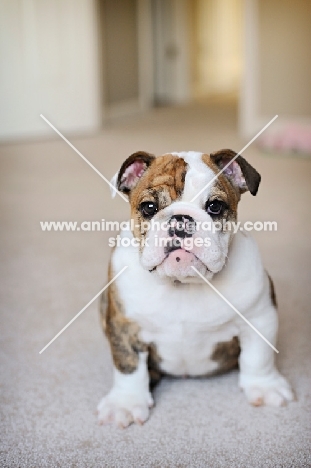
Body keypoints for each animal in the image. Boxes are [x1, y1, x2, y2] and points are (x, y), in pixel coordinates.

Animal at [98, 150, 294, 428]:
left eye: (215, 206)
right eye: (149, 207)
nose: (181, 219)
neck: (184, 283)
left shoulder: (260, 317)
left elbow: (259, 356)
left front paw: (265, 387)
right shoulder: (123, 327)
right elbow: (128, 366)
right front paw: (125, 403)